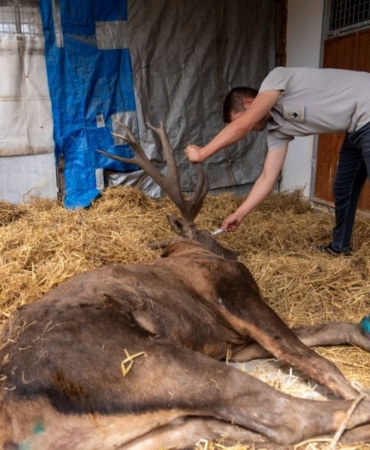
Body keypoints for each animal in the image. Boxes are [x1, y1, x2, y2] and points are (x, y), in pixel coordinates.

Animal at [0, 120, 370, 450]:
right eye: (206, 232)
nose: (232, 250)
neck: (185, 251)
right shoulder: (234, 294)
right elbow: (308, 355)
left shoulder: (234, 344)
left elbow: (324, 331)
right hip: (150, 361)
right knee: (288, 417)